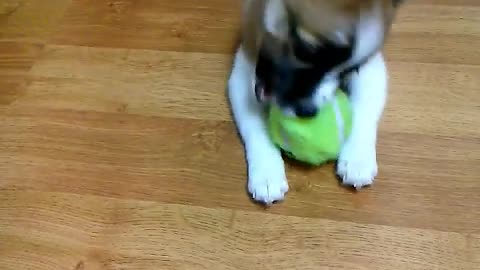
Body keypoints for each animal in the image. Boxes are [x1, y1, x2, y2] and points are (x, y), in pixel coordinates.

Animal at [229, 0, 404, 205]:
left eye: (352, 70)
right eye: (305, 50)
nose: (308, 112)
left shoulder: (371, 68)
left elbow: (365, 114)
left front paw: (357, 158)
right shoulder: (243, 69)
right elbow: (254, 125)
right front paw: (266, 172)